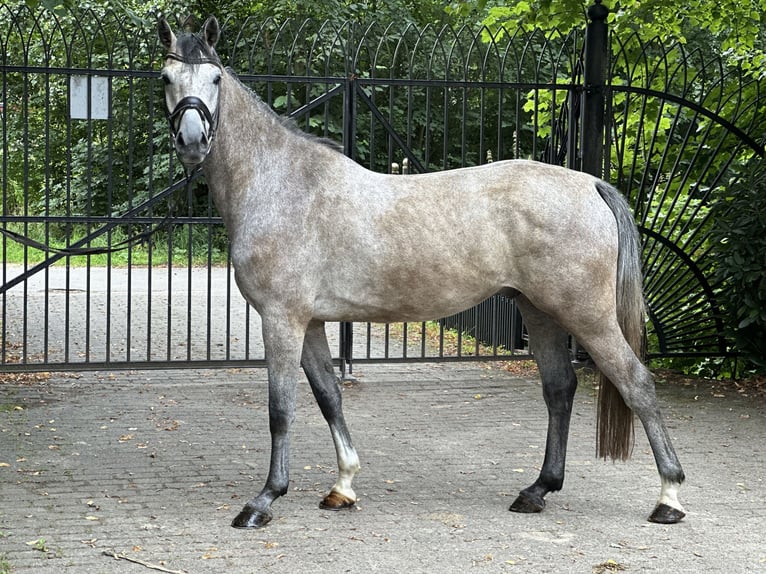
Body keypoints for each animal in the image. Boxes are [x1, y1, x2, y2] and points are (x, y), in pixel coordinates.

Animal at [159, 16, 688, 532]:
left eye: (215, 79)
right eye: (166, 77)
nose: (192, 141)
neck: (283, 185)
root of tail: (591, 183)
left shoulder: (281, 319)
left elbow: (280, 409)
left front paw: (264, 500)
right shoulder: (310, 322)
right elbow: (329, 396)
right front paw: (343, 486)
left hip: (587, 315)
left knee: (637, 383)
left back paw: (669, 497)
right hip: (539, 312)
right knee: (559, 390)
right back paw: (537, 490)